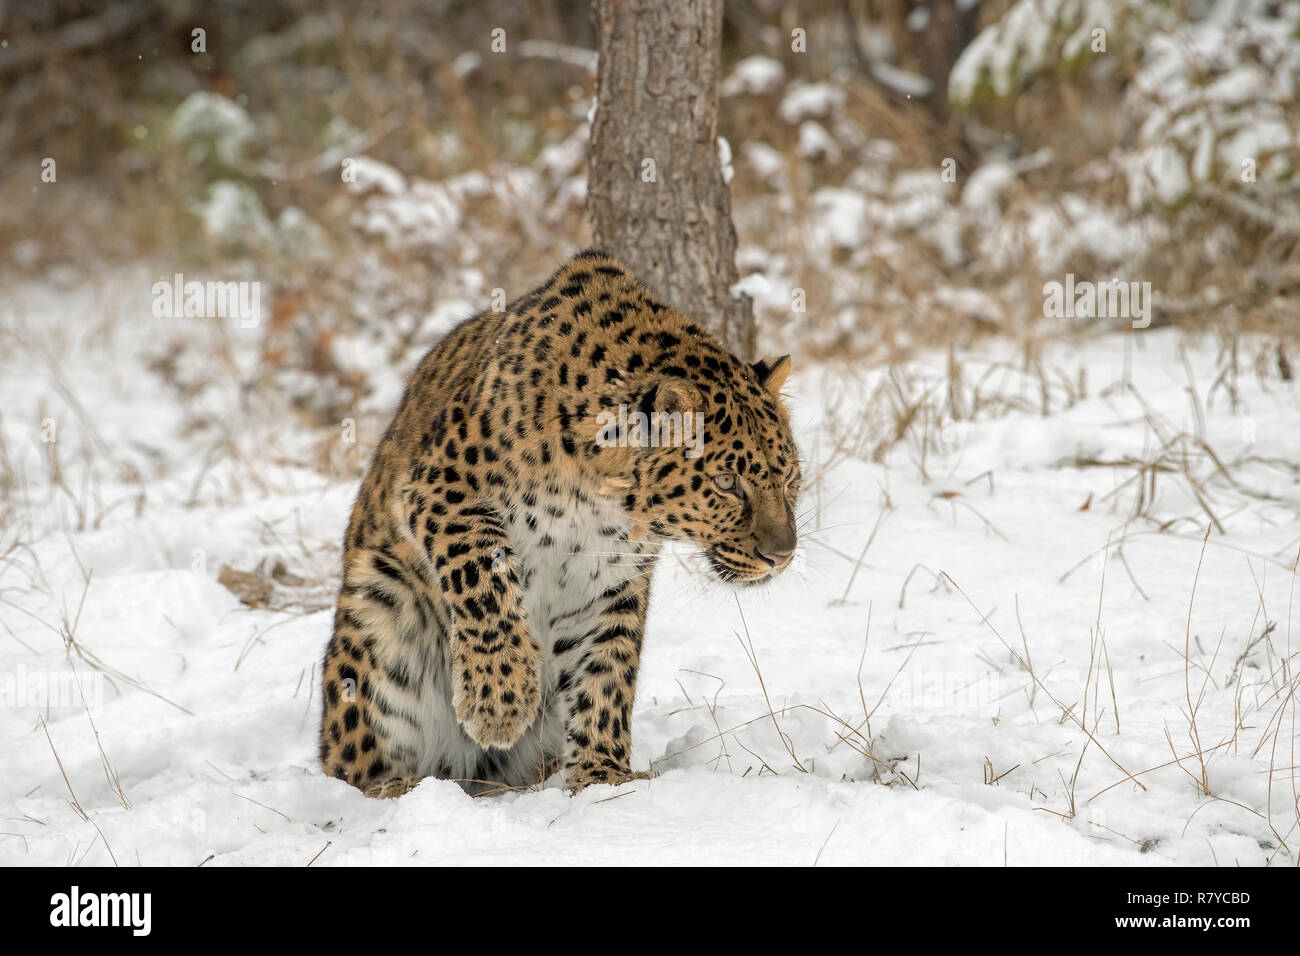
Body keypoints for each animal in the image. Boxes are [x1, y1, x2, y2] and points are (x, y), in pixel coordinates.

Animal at [317, 251, 800, 796]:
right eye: (725, 482)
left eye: (790, 477)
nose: (782, 556)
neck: (598, 495)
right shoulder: (439, 489)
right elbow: (484, 573)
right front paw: (498, 701)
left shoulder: (610, 577)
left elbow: (606, 670)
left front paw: (603, 778)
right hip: (378, 607)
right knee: (349, 765)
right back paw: (398, 787)